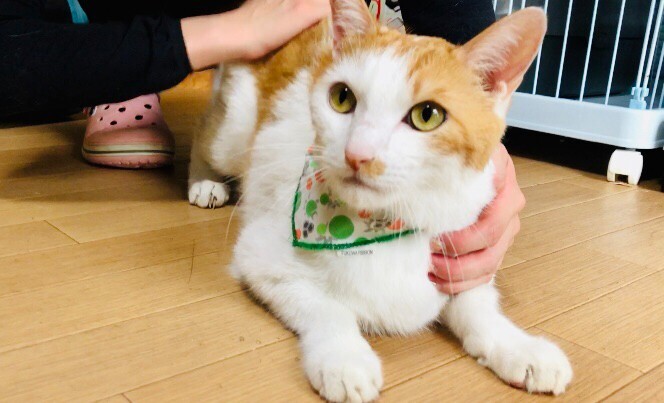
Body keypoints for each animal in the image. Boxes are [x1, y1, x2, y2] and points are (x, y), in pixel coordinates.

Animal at [188, 1, 572, 401]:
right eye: (342, 97)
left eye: (427, 115)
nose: (358, 154)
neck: (384, 221)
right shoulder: (261, 258)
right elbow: (327, 308)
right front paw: (343, 358)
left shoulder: (461, 245)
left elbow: (477, 306)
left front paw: (518, 346)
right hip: (234, 131)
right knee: (205, 134)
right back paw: (204, 182)